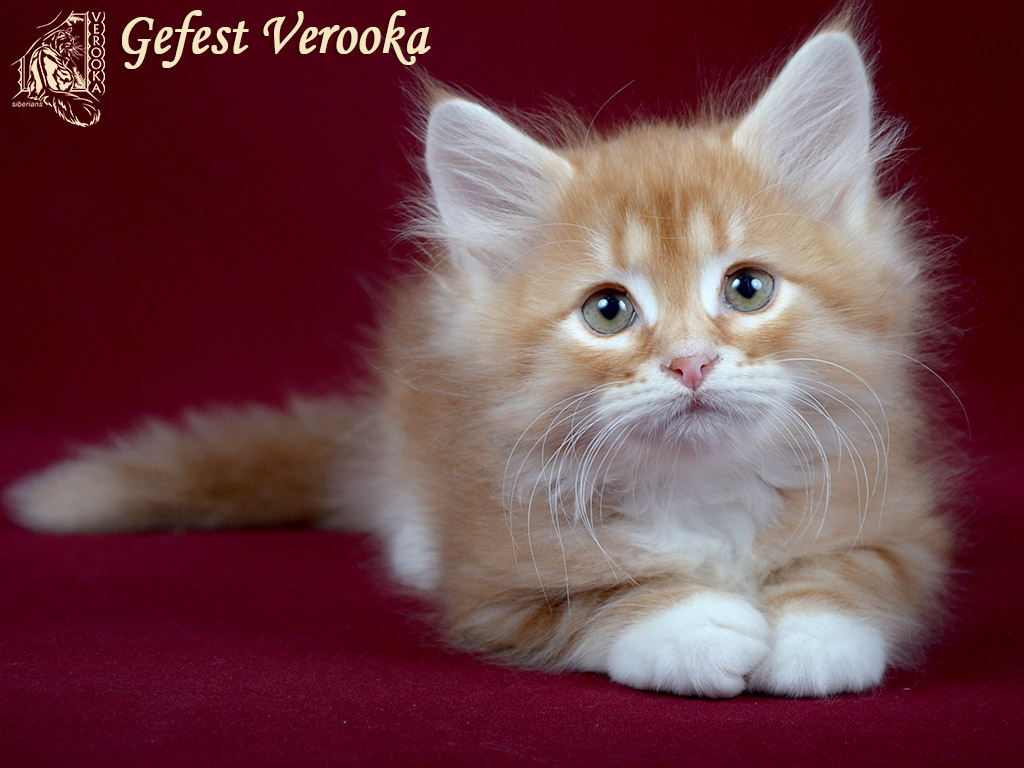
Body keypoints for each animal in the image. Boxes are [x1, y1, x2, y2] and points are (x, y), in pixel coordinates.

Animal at [7, 24, 954, 698]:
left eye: (748, 288)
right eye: (608, 311)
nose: (690, 363)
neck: (701, 492)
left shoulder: (898, 509)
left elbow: (862, 571)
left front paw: (815, 637)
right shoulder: (495, 577)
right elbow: (599, 602)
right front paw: (697, 626)